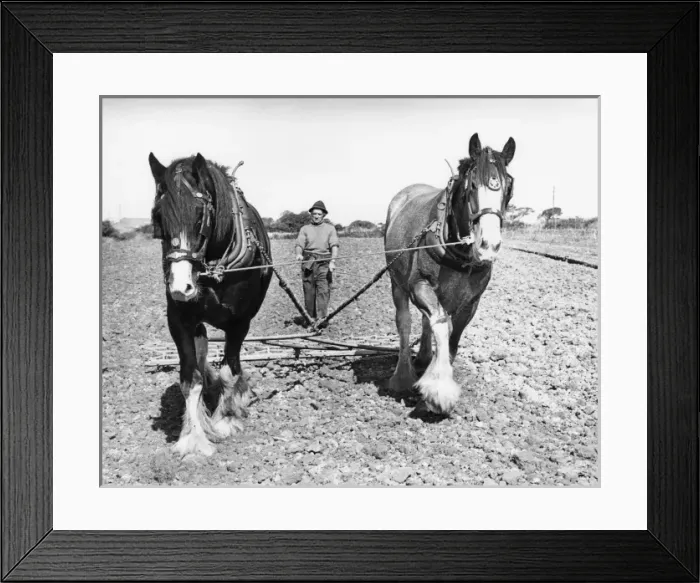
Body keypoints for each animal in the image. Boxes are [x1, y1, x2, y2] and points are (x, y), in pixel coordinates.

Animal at [148, 152, 272, 456]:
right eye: (158, 216)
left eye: (199, 215)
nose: (181, 287)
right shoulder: (179, 319)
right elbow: (190, 378)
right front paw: (193, 439)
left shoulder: (239, 322)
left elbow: (230, 371)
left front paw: (226, 420)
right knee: (202, 350)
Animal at [384, 133, 515, 415]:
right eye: (472, 184)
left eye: (509, 186)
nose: (489, 245)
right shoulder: (419, 285)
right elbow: (442, 325)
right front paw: (438, 390)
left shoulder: (472, 301)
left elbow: (453, 335)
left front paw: (437, 375)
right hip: (396, 281)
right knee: (405, 322)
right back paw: (402, 376)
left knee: (427, 320)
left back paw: (423, 359)